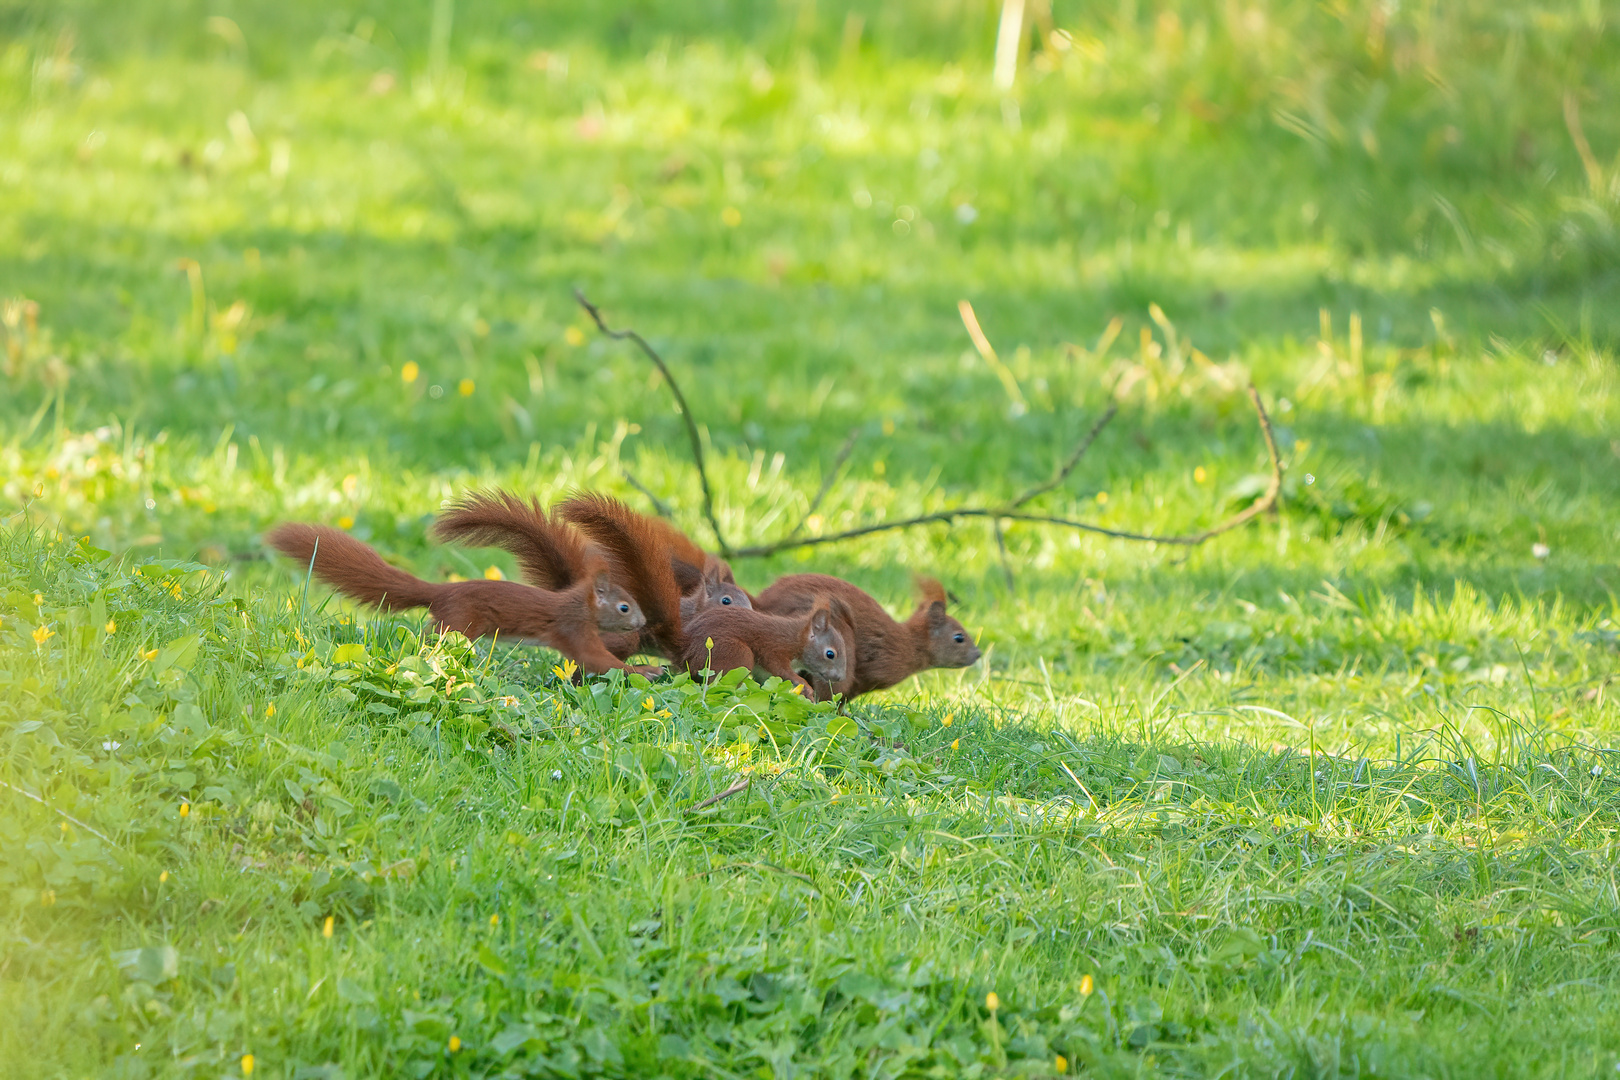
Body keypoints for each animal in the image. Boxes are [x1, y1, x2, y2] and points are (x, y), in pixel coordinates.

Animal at [262, 518, 641, 670]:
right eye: (624, 607)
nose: (643, 622)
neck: (580, 604)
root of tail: (441, 592)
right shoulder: (573, 629)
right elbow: (598, 660)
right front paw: (646, 672)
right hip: (460, 622)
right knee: (434, 633)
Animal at [680, 595, 848, 696]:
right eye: (830, 654)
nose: (839, 677)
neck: (796, 639)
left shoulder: (764, 674)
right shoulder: (774, 648)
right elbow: (779, 667)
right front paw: (805, 686)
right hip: (736, 654)